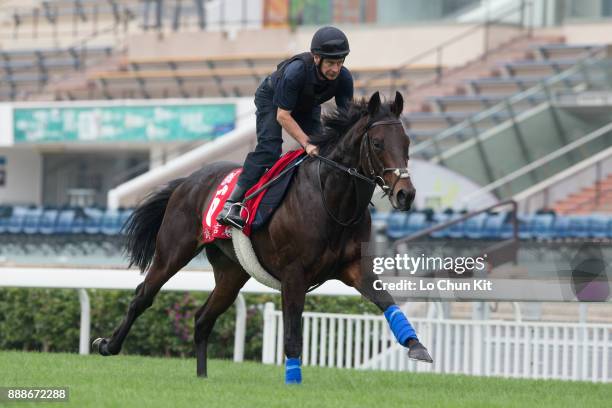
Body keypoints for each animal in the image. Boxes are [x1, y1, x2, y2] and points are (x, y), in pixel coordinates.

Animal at [93, 91, 432, 384]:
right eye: (377, 143)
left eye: (406, 142)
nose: (406, 194)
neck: (332, 201)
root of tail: (187, 180)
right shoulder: (294, 274)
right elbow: (293, 331)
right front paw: (293, 379)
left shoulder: (354, 267)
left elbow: (387, 301)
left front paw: (417, 346)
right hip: (172, 252)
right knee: (143, 296)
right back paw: (107, 345)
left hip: (232, 272)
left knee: (203, 318)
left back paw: (202, 376)